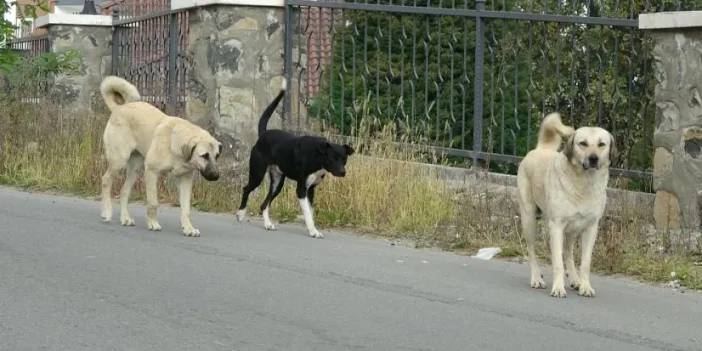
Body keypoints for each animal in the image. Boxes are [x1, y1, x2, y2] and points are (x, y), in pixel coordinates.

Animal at [99, 76, 223, 238]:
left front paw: (188, 228)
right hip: (119, 160)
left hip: (135, 169)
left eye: (216, 156)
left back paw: (125, 218)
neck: (175, 142)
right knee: (106, 180)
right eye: (204, 156)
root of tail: (119, 108)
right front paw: (153, 223)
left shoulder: (185, 180)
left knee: (124, 191)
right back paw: (107, 212)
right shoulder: (152, 172)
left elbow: (186, 208)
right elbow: (153, 203)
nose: (215, 176)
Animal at [238, 82, 358, 239]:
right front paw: (313, 231)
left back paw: (268, 224)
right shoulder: (301, 190)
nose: (343, 173)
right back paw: (241, 214)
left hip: (277, 183)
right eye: (333, 158)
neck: (317, 156)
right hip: (257, 174)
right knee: (246, 189)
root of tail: (263, 135)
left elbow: (311, 212)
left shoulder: (311, 190)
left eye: (344, 159)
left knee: (265, 204)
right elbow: (307, 213)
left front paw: (312, 229)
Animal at [516, 113, 616, 300]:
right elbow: (557, 263)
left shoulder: (591, 228)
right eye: (583, 143)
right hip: (529, 219)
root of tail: (541, 148)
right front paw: (558, 288)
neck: (584, 183)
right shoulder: (556, 226)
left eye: (601, 144)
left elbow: (585, 263)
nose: (593, 159)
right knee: (532, 250)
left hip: (572, 230)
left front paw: (585, 286)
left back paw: (575, 280)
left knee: (568, 252)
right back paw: (536, 278)